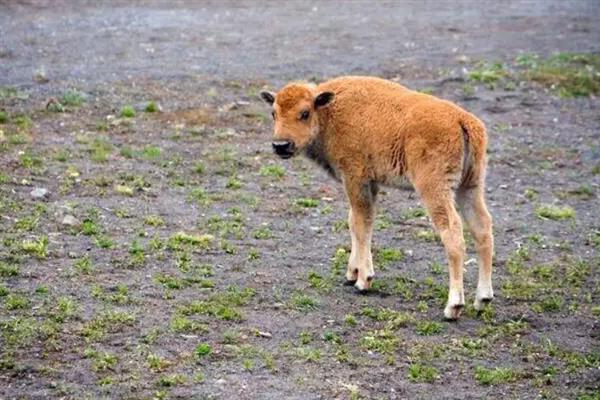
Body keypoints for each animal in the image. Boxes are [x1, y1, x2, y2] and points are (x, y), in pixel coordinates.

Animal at [260, 76, 494, 318]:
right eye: (274, 113)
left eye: (305, 113)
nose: (281, 145)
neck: (329, 111)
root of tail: (462, 120)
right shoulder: (368, 184)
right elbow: (356, 222)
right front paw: (352, 272)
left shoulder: (355, 179)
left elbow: (361, 224)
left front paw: (363, 280)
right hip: (470, 186)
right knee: (482, 228)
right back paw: (483, 299)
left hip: (435, 189)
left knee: (453, 233)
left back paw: (453, 306)